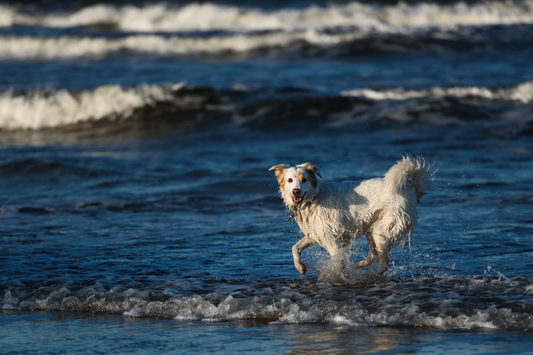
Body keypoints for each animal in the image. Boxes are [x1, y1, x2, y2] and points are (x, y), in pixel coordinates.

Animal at [268, 156, 434, 278]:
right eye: (290, 180)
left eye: (304, 180)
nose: (296, 191)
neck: (314, 199)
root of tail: (410, 189)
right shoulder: (314, 235)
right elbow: (294, 248)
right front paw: (300, 267)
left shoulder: (333, 244)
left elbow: (340, 267)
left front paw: (344, 279)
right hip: (372, 228)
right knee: (373, 255)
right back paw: (359, 265)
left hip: (383, 230)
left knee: (384, 262)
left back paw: (373, 275)